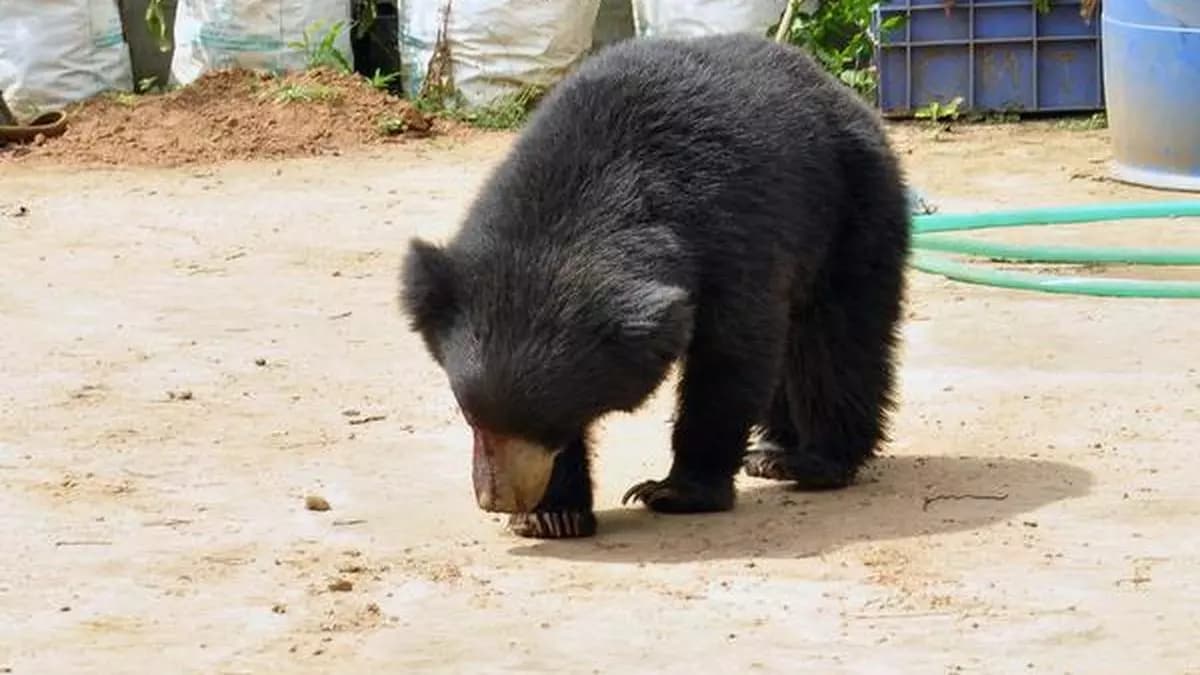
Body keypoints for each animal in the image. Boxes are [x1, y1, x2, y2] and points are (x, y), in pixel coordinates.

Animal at [399, 32, 911, 539]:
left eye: (549, 424)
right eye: (472, 417)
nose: (496, 499)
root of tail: (837, 89)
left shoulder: (734, 239)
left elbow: (731, 357)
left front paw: (674, 492)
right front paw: (552, 516)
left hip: (854, 207)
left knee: (835, 340)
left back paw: (812, 461)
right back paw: (772, 450)